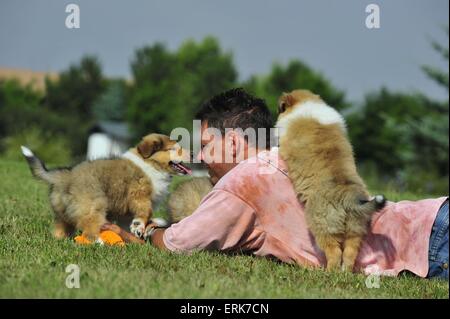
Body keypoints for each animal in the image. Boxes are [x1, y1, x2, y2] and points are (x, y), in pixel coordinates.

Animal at [22, 134, 191, 242]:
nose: (193, 154)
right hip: (93, 205)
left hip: (62, 212)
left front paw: (136, 230)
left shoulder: (125, 211)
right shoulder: (139, 195)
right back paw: (98, 242)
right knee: (89, 225)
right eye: (174, 149)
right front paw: (139, 227)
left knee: (60, 228)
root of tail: (65, 176)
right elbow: (146, 211)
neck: (151, 163)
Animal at [274, 90, 386, 272]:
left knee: (334, 251)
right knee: (349, 253)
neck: (307, 103)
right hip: (356, 228)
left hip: (323, 226)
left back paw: (328, 271)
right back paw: (345, 272)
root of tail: (347, 197)